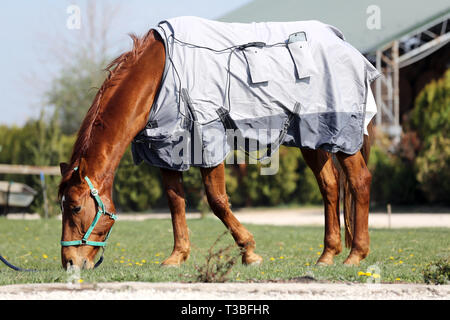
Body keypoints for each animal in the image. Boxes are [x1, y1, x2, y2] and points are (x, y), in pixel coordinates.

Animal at [59, 30, 372, 270]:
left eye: (75, 207)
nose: (69, 263)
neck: (160, 74)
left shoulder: (208, 138)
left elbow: (217, 200)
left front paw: (249, 252)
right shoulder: (167, 148)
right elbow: (175, 202)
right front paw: (177, 257)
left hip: (341, 133)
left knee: (359, 181)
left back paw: (356, 255)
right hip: (312, 137)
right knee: (330, 186)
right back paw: (327, 255)